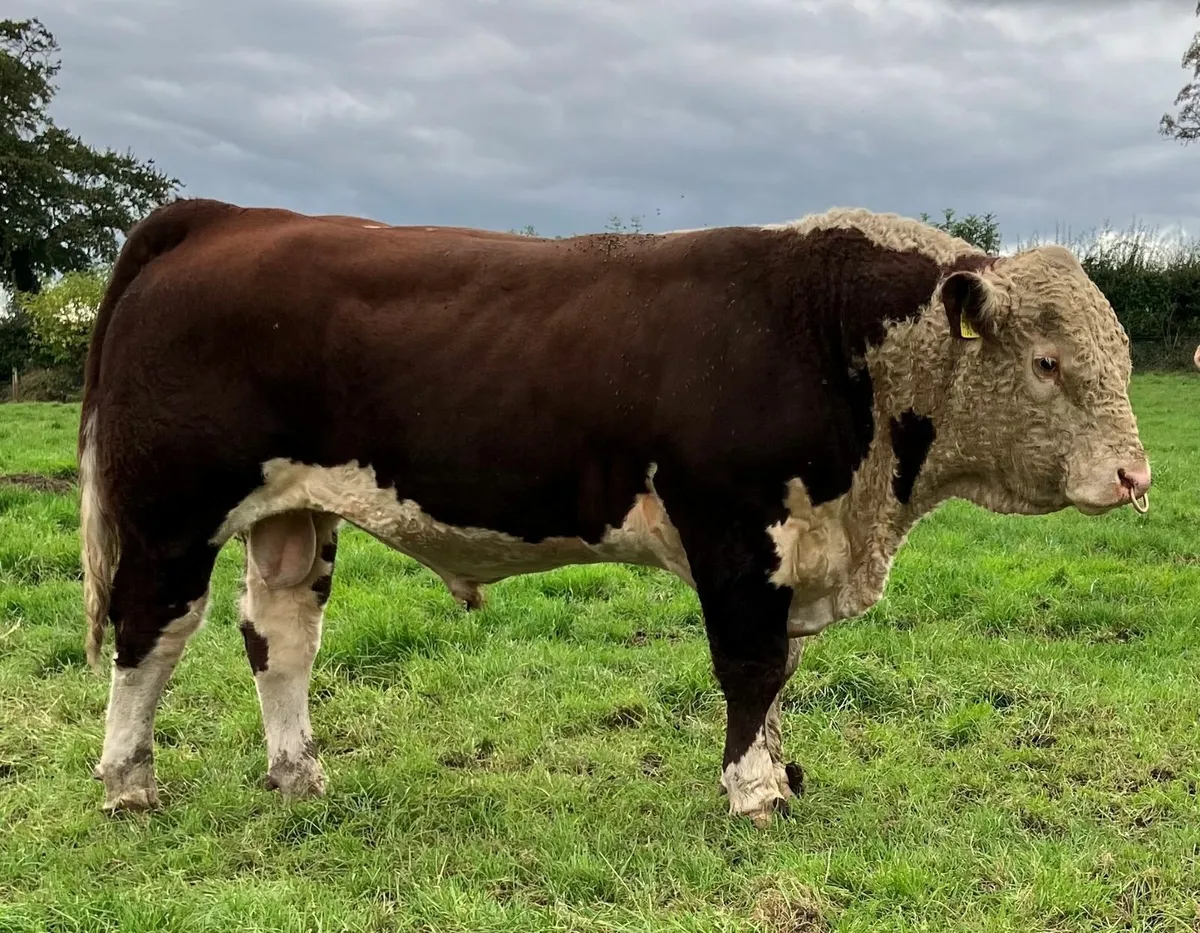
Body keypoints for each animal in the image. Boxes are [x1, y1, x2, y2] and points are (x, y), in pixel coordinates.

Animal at [79, 198, 1151, 827]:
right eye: (1047, 361)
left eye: (1126, 355)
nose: (1136, 477)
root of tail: (220, 217)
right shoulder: (735, 531)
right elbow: (751, 666)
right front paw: (753, 792)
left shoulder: (794, 549)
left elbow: (781, 673)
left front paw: (779, 770)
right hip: (172, 513)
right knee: (149, 634)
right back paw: (129, 780)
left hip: (292, 514)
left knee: (281, 634)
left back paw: (298, 775)